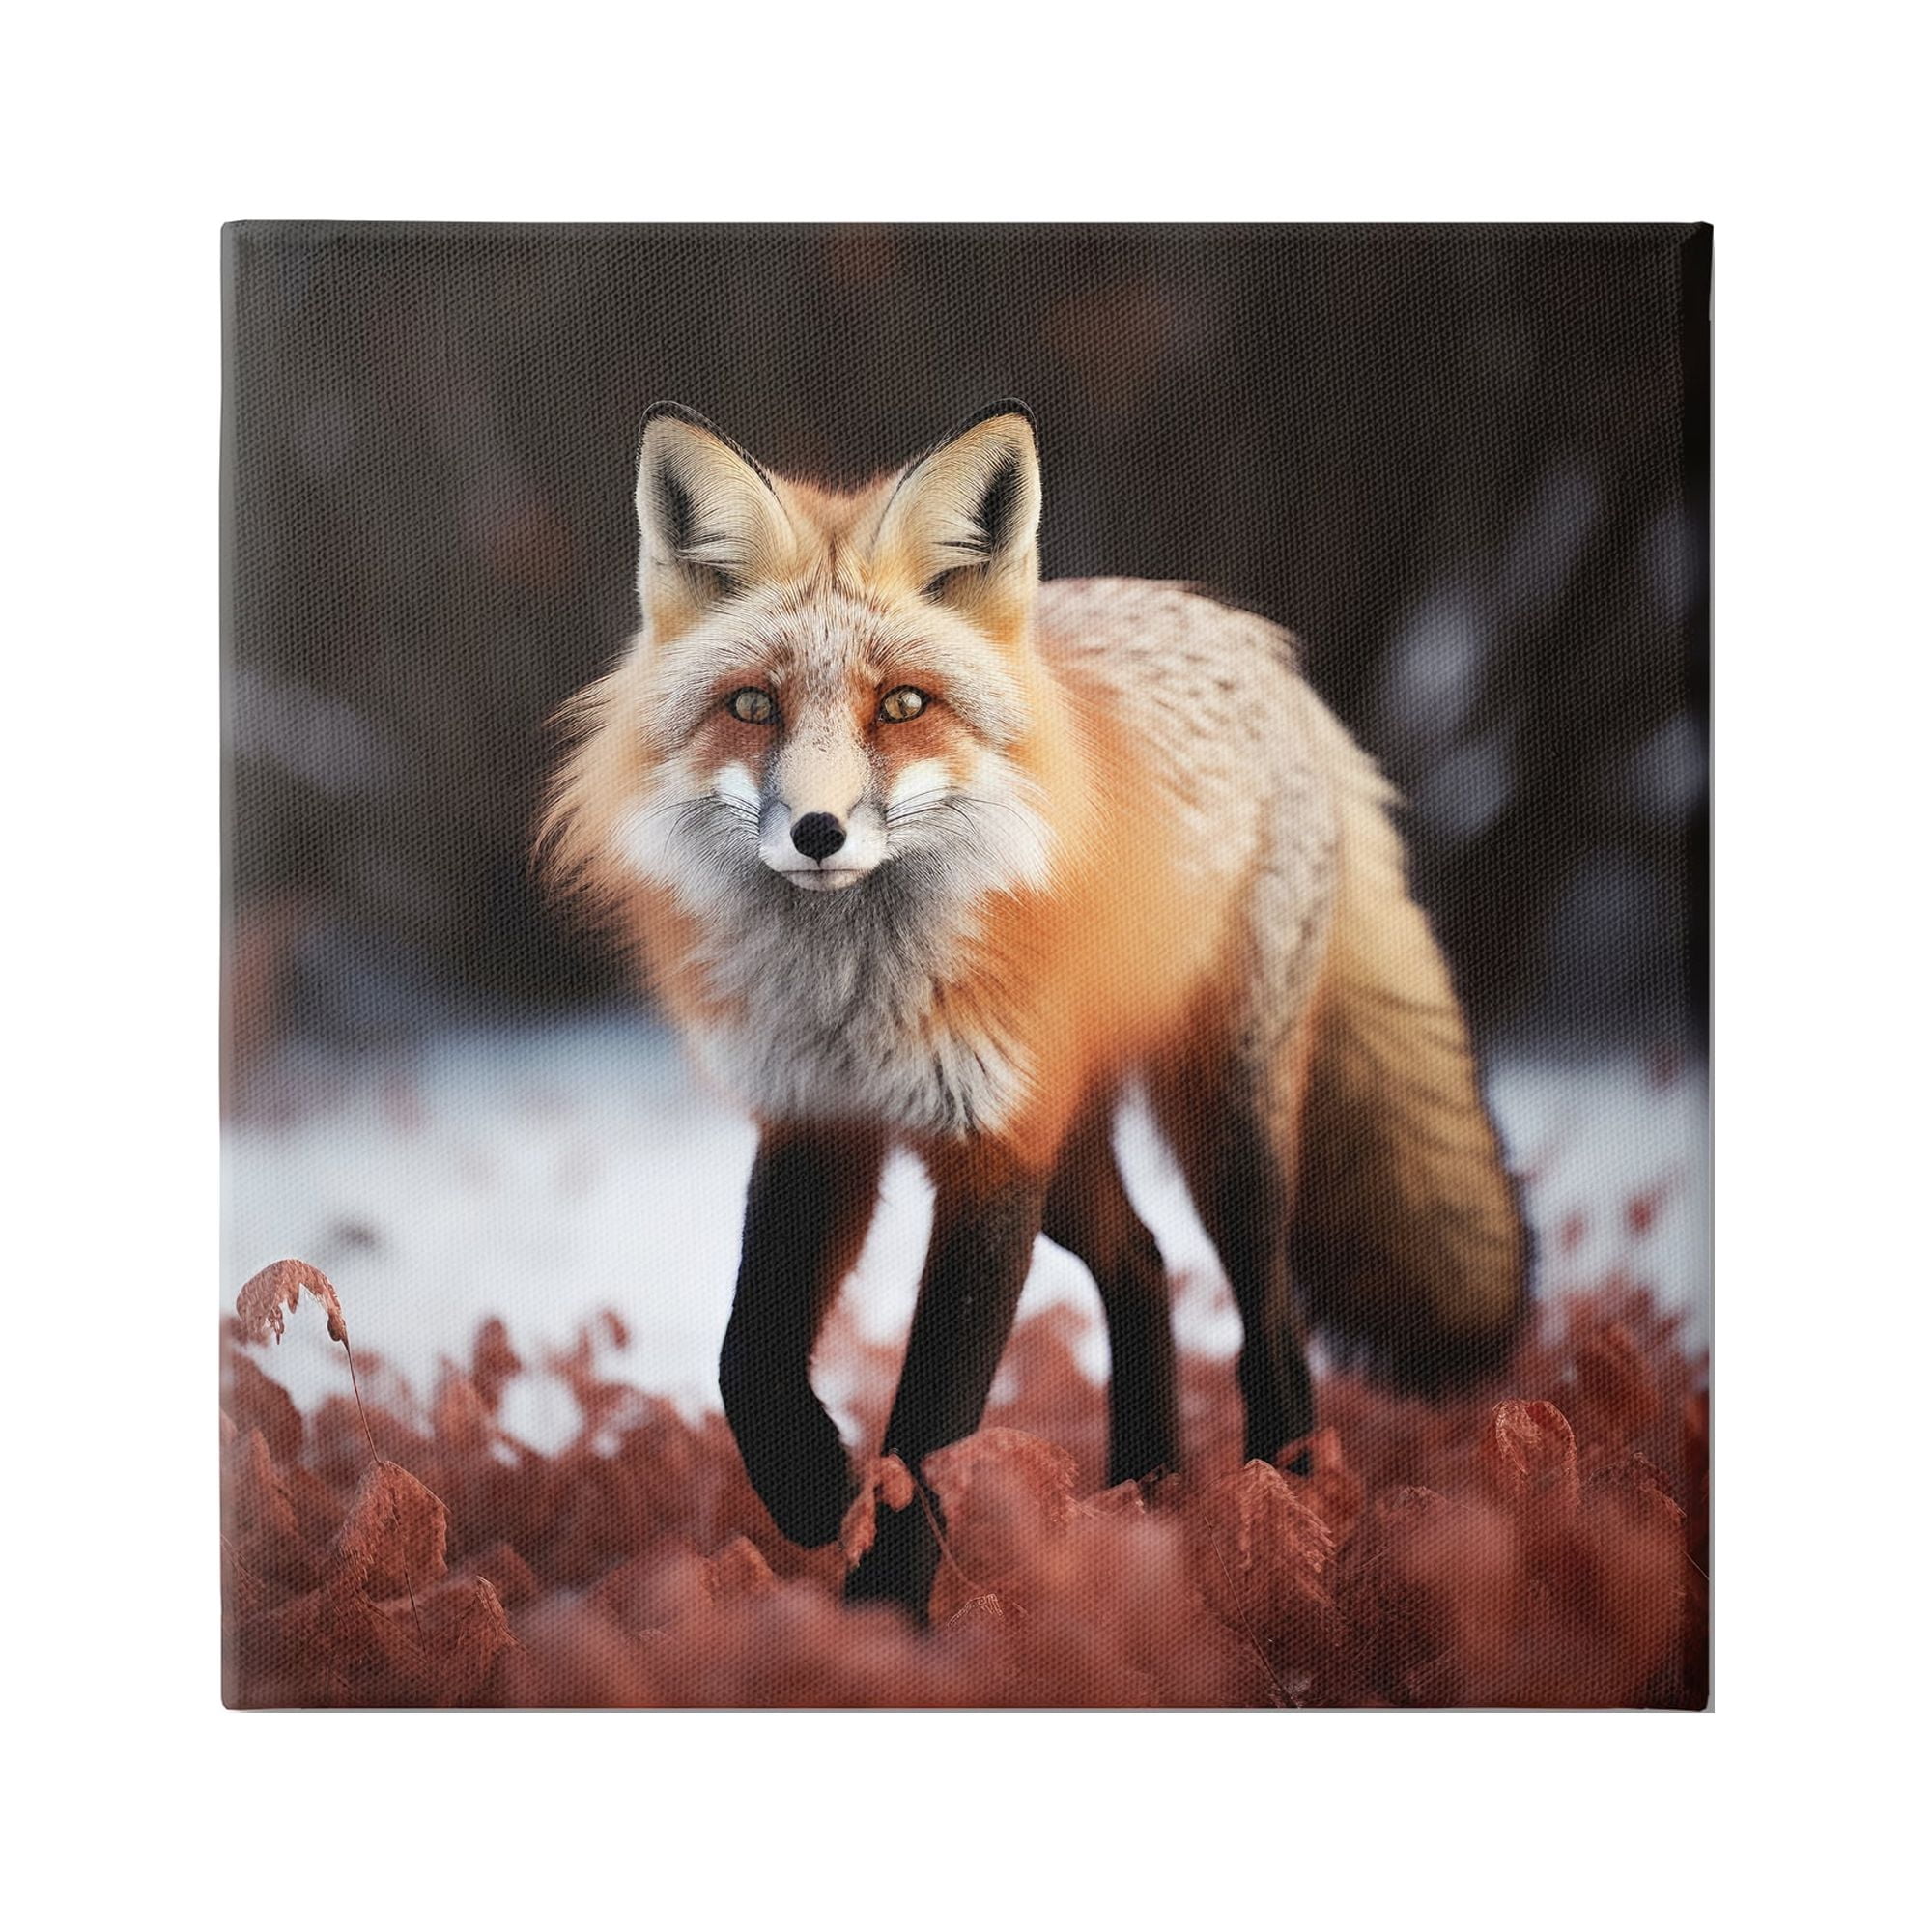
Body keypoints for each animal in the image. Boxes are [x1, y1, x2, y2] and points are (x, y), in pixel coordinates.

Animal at [542, 399, 1529, 1618]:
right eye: (751, 705)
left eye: (902, 704)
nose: (817, 832)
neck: (854, 993)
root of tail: (1255, 642)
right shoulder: (818, 1117)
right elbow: (748, 1358)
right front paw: (816, 1490)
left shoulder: (990, 1147)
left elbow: (928, 1427)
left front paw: (882, 1619)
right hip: (1070, 1141)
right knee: (1143, 1264)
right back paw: (1143, 1499)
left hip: (1220, 1125)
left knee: (1272, 1319)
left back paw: (1276, 1525)